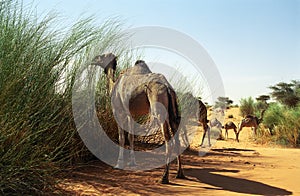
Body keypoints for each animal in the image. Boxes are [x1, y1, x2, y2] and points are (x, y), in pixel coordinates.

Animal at [92, 53, 184, 184]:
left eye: (102, 56)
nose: (94, 59)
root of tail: (167, 87)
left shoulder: (119, 112)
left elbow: (121, 138)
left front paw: (119, 164)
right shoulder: (131, 114)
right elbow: (130, 136)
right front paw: (132, 162)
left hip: (158, 107)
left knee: (168, 141)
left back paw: (164, 177)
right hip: (173, 110)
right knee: (177, 140)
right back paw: (179, 173)